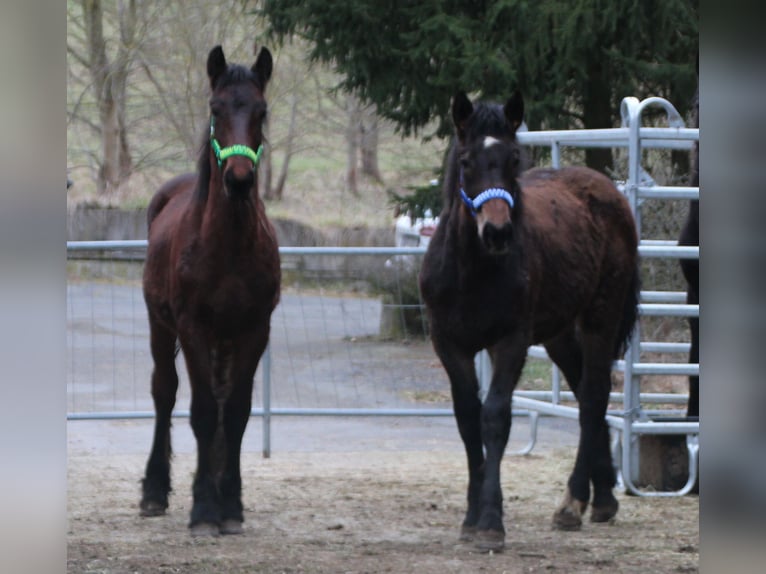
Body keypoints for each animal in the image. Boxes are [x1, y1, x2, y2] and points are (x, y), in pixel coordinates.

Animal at [140, 45, 280, 540]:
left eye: (261, 111)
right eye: (215, 108)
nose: (238, 179)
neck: (229, 246)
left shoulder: (254, 331)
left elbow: (234, 413)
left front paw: (230, 507)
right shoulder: (193, 327)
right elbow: (200, 411)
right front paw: (203, 511)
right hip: (160, 327)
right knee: (164, 393)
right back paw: (154, 491)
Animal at [420, 91, 640, 552]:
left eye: (513, 157)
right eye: (466, 160)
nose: (498, 232)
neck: (472, 272)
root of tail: (608, 191)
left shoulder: (511, 341)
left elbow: (495, 418)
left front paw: (490, 522)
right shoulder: (449, 344)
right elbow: (467, 419)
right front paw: (470, 518)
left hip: (600, 318)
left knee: (594, 395)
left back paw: (572, 503)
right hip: (559, 334)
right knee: (584, 394)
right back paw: (602, 497)